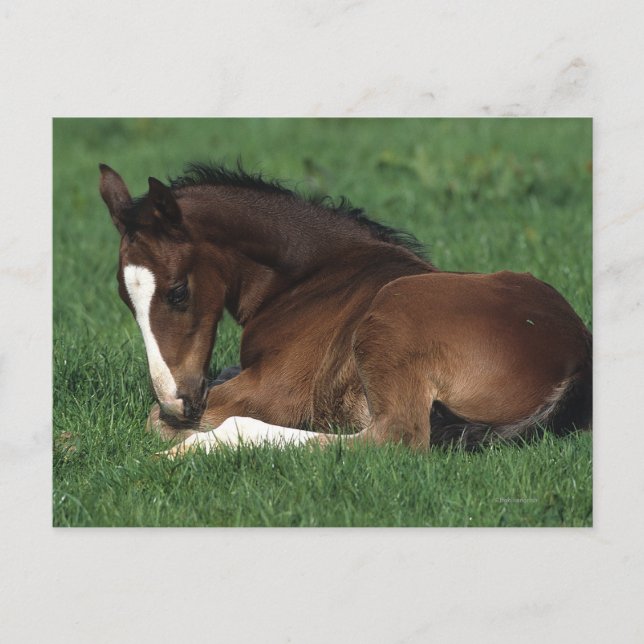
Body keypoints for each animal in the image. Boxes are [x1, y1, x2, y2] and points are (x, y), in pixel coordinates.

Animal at [99, 162, 592, 457]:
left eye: (178, 292)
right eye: (125, 299)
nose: (178, 403)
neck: (311, 277)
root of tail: (576, 356)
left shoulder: (280, 389)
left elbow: (155, 420)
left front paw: (183, 433)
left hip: (397, 309)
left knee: (393, 439)